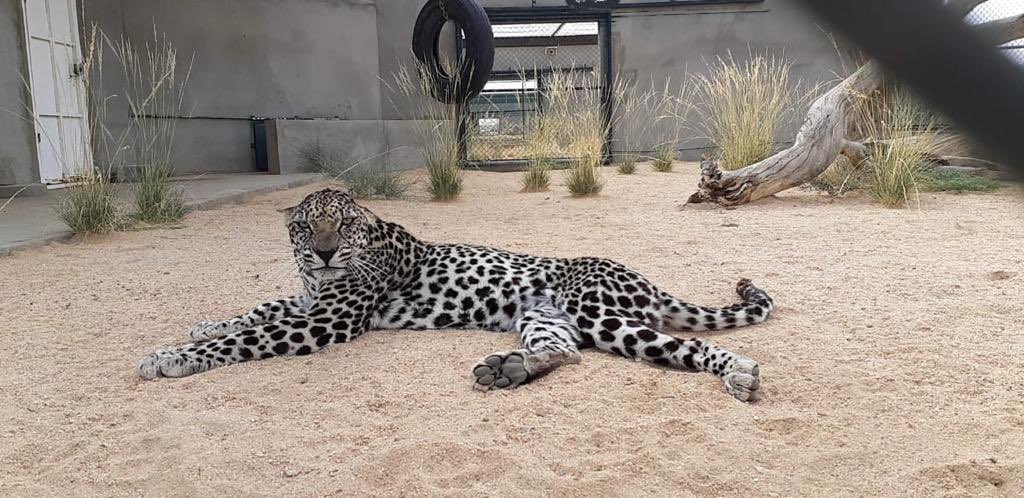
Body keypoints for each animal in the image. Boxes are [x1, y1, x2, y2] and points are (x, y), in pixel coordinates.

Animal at [138, 188, 775, 401]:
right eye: (304, 227)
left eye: (340, 226)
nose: (322, 253)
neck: (319, 280)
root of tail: (645, 279)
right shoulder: (311, 302)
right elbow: (258, 308)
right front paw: (202, 327)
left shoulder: (326, 320)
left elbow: (248, 337)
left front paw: (170, 356)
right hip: (547, 318)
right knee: (565, 353)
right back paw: (507, 369)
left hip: (599, 313)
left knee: (686, 348)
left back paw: (739, 372)